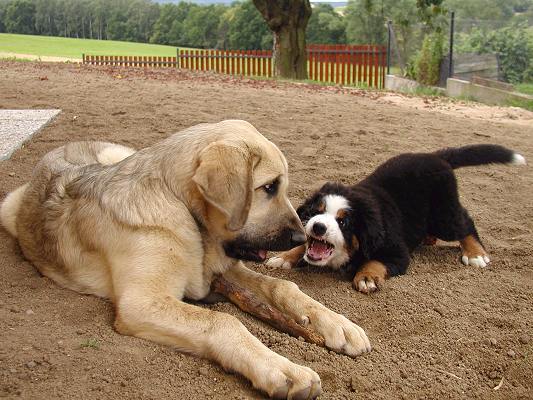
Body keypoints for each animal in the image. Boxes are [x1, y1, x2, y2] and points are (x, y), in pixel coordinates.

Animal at [1, 120, 370, 398]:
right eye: (268, 187)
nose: (301, 239)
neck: (179, 205)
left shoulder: (223, 269)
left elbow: (284, 287)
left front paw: (338, 323)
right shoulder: (142, 302)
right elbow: (224, 321)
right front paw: (281, 367)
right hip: (7, 207)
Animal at [268, 145, 524, 294]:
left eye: (344, 222)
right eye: (315, 212)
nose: (319, 227)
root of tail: (435, 156)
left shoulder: (396, 251)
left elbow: (375, 261)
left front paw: (367, 277)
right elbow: (303, 246)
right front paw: (283, 257)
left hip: (443, 215)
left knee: (465, 222)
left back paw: (475, 254)